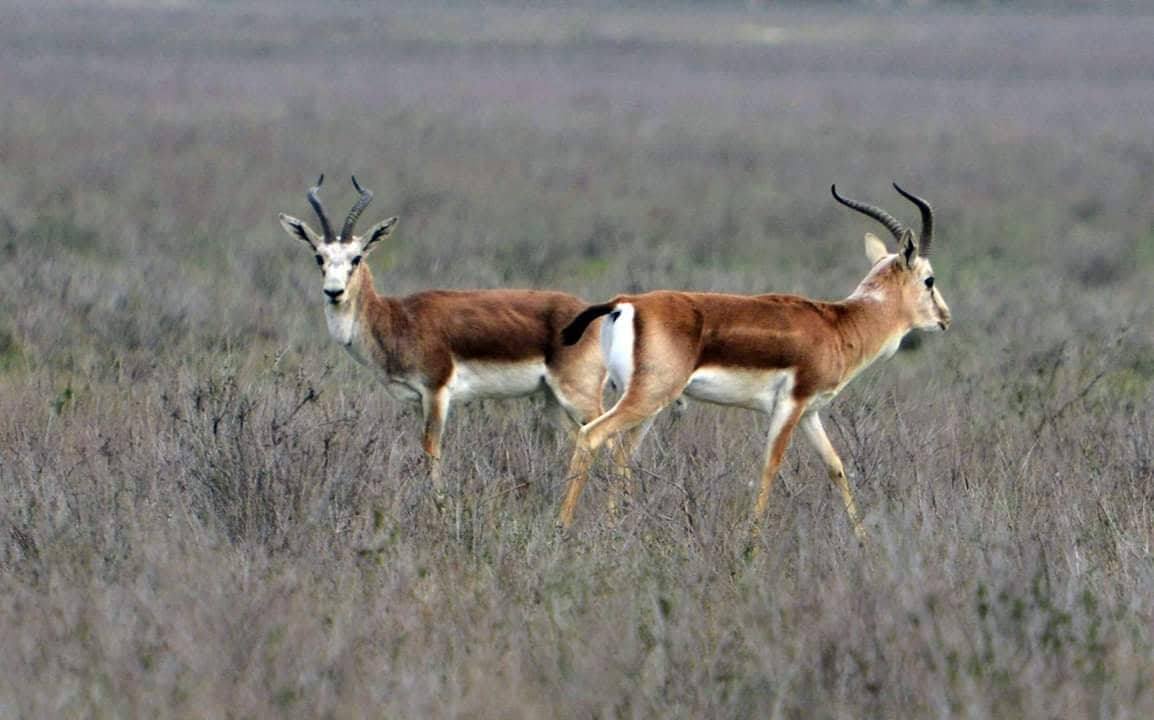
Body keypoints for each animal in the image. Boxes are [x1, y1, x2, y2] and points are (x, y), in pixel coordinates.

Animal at [278, 176, 606, 505]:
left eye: (356, 258)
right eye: (319, 257)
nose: (334, 292)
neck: (396, 319)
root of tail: (597, 313)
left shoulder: (436, 393)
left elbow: (431, 452)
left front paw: (441, 507)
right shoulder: (415, 400)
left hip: (578, 395)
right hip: (551, 401)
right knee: (583, 439)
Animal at [555, 183, 951, 539]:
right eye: (929, 280)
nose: (945, 318)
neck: (839, 325)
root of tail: (625, 303)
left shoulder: (810, 412)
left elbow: (835, 466)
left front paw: (864, 541)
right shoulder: (790, 405)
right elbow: (770, 467)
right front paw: (752, 544)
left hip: (645, 402)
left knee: (622, 454)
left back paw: (615, 526)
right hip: (648, 398)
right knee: (592, 436)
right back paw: (563, 527)